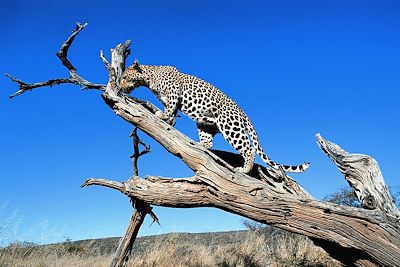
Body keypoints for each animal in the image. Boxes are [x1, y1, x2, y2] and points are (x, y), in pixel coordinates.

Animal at [119, 59, 310, 175]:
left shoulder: (174, 92)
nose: (120, 86)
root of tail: (243, 113)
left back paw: (244, 170)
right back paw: (198, 144)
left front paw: (163, 116)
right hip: (205, 123)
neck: (149, 78)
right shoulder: (167, 99)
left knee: (249, 148)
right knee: (209, 143)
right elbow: (171, 112)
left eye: (125, 77)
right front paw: (168, 120)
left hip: (230, 125)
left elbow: (170, 108)